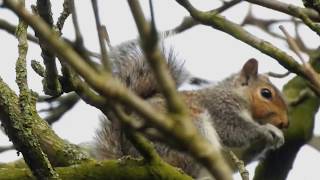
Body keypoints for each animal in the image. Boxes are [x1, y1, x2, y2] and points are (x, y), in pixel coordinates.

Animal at [91, 39, 288, 177]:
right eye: (266, 93)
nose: (285, 123)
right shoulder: (220, 108)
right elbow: (234, 130)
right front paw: (267, 130)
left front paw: (274, 138)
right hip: (188, 132)